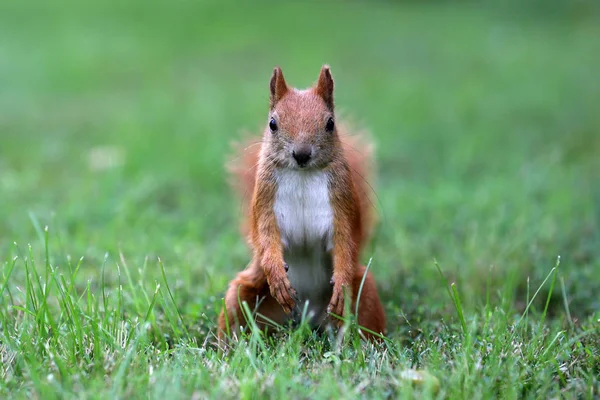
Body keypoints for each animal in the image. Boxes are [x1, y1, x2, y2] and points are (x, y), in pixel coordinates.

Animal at [218, 65, 386, 340]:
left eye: (330, 123)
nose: (302, 154)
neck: (303, 176)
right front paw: (277, 276)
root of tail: (309, 317)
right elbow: (265, 238)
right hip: (244, 293)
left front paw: (340, 281)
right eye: (272, 124)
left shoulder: (342, 205)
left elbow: (345, 242)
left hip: (364, 291)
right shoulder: (265, 203)